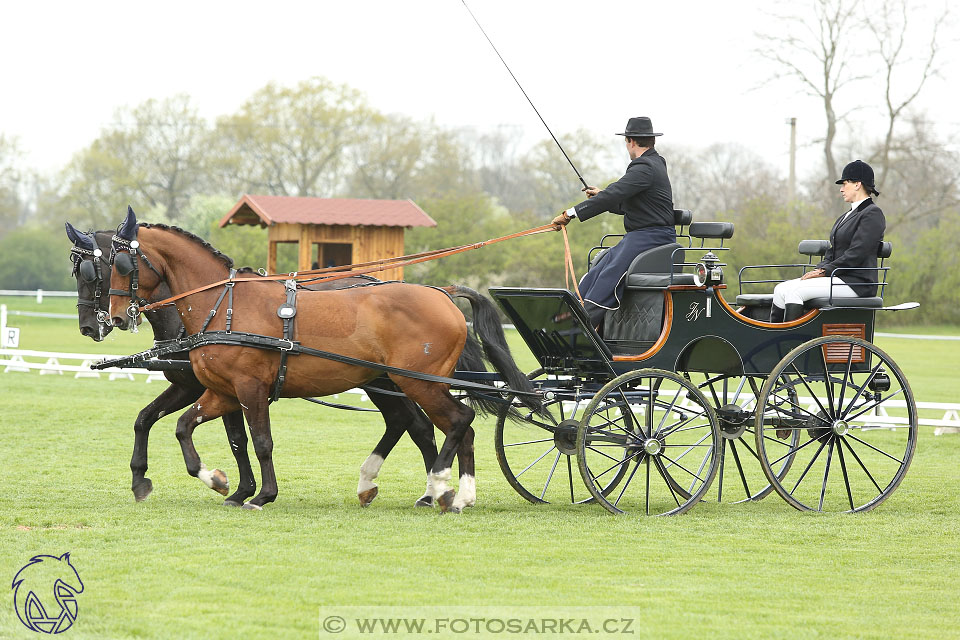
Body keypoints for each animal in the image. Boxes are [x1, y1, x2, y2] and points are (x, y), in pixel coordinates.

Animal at [107, 209, 540, 510]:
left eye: (121, 264)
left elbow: (261, 441)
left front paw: (261, 495)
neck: (224, 305)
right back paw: (457, 495)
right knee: (449, 428)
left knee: (457, 421)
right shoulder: (223, 391)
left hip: (420, 382)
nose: (114, 317)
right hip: (397, 382)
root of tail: (442, 293)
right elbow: (187, 428)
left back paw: (438, 485)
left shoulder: (250, 388)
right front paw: (216, 480)